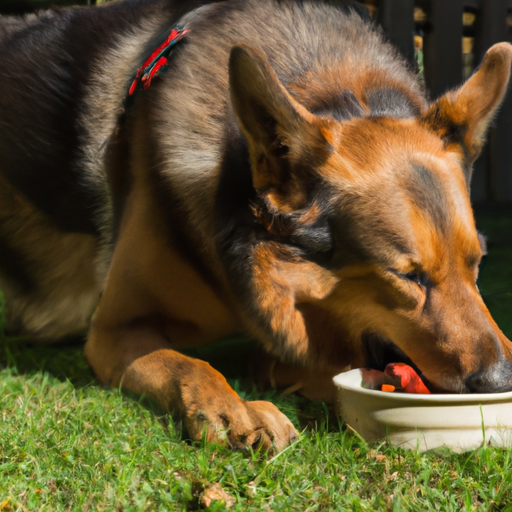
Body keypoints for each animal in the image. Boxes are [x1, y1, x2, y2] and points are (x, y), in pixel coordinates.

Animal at [1, 0, 512, 454]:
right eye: (407, 276)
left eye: (477, 262)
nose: (503, 379)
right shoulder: (115, 330)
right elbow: (188, 364)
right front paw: (234, 410)